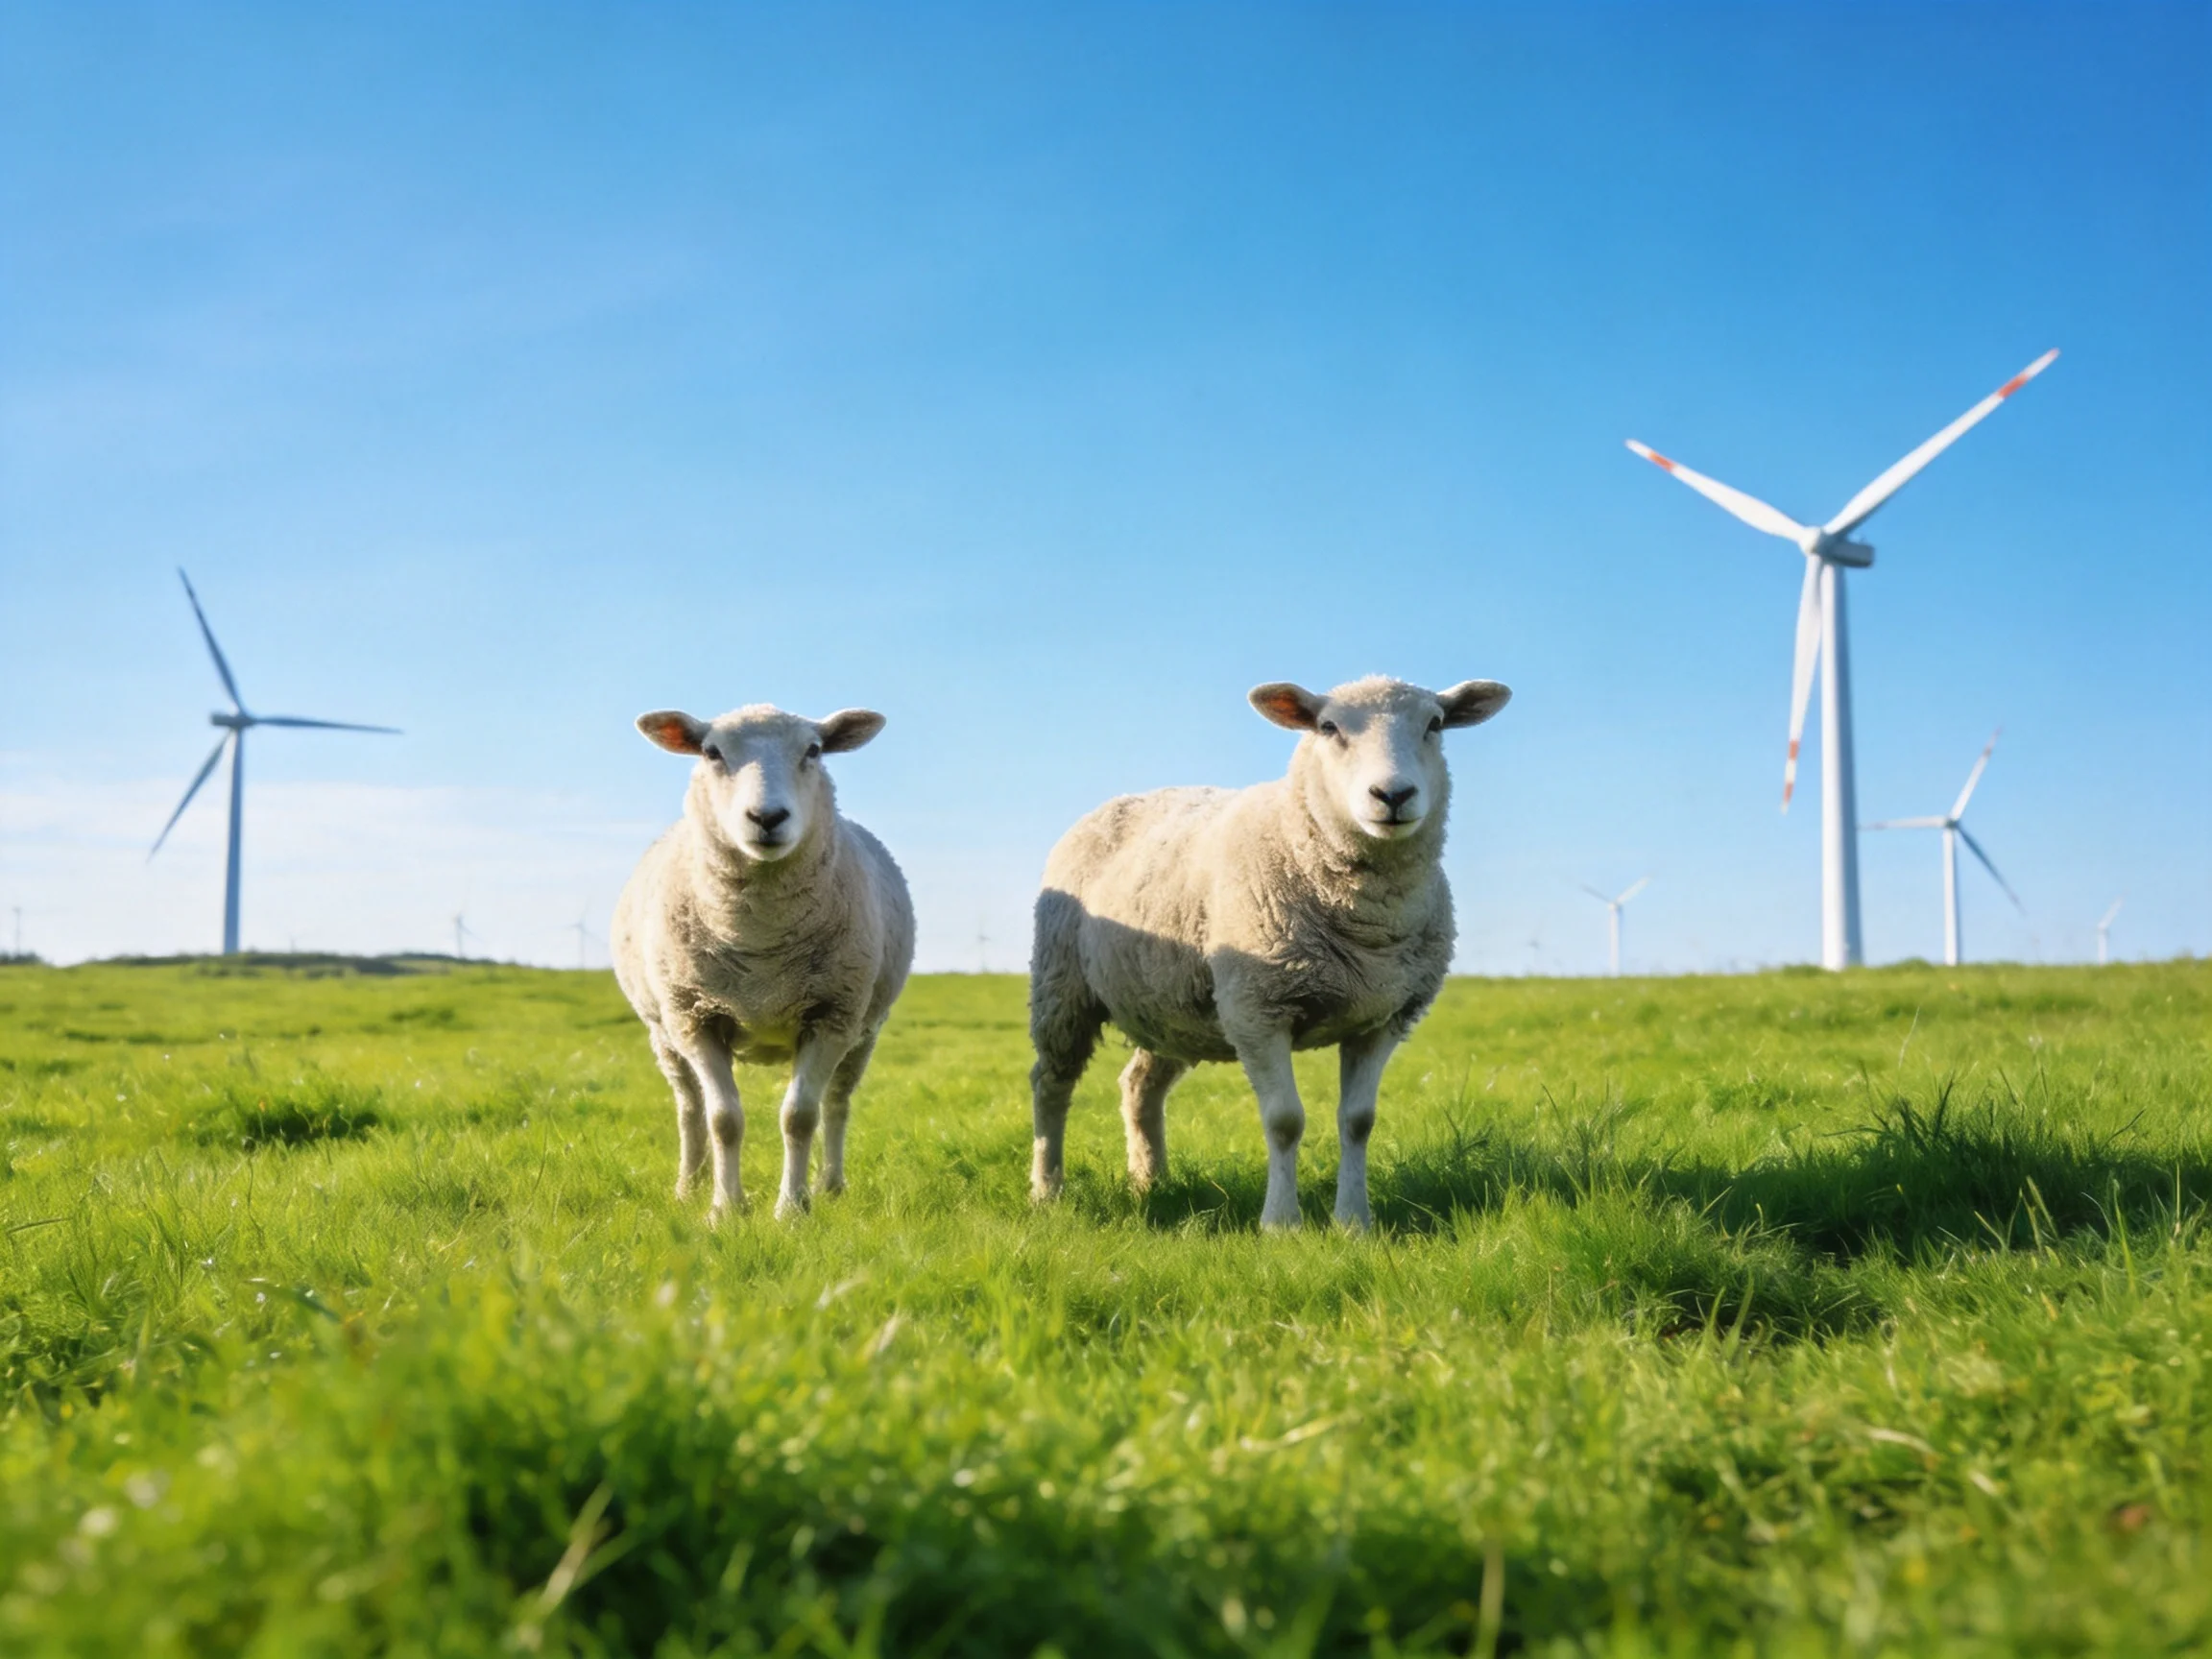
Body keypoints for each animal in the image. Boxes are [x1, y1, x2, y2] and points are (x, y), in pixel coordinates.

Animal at [612, 702, 914, 1221]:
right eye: (711, 752)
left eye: (813, 750)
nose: (767, 816)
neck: (762, 944)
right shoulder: (695, 1018)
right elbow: (723, 1118)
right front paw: (725, 1209)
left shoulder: (831, 1016)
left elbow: (800, 1117)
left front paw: (792, 1209)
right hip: (663, 1032)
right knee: (689, 1107)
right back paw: (688, 1186)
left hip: (864, 1030)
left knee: (837, 1104)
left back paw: (831, 1186)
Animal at [1027, 674, 1512, 1230]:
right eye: (1328, 727)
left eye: (1434, 724)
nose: (1393, 794)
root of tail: (1125, 798)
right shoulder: (1257, 1009)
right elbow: (1284, 1121)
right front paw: (1281, 1224)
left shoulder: (1383, 1020)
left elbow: (1359, 1122)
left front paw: (1353, 1222)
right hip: (1062, 985)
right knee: (1052, 1083)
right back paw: (1047, 1190)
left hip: (1171, 1006)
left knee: (1139, 1086)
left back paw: (1151, 1182)